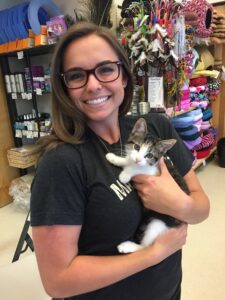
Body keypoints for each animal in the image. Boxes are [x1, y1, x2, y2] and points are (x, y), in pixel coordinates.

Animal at [105, 117, 188, 253]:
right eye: (136, 147)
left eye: (149, 155)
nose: (138, 159)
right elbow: (128, 160)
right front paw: (114, 158)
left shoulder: (154, 171)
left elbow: (138, 169)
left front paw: (125, 174)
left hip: (159, 221)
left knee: (146, 246)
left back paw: (128, 246)